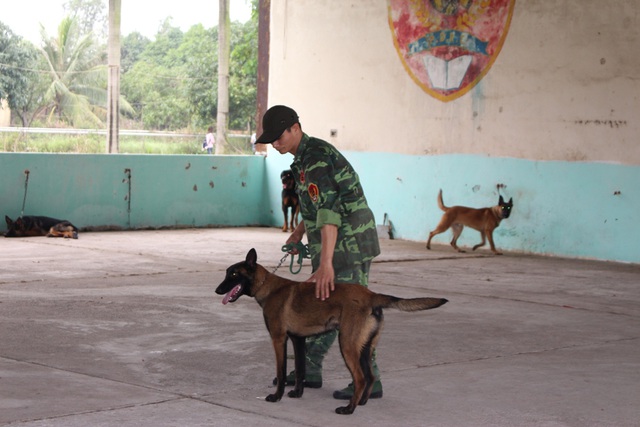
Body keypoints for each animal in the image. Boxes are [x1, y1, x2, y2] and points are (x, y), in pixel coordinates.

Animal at [215, 249, 444, 416]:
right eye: (227, 273)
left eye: (233, 274)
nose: (217, 290)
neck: (268, 287)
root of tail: (372, 295)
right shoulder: (298, 340)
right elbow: (300, 370)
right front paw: (297, 393)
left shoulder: (279, 339)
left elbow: (281, 372)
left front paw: (276, 396)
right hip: (364, 348)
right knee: (370, 376)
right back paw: (361, 402)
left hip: (347, 345)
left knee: (361, 378)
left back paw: (349, 409)